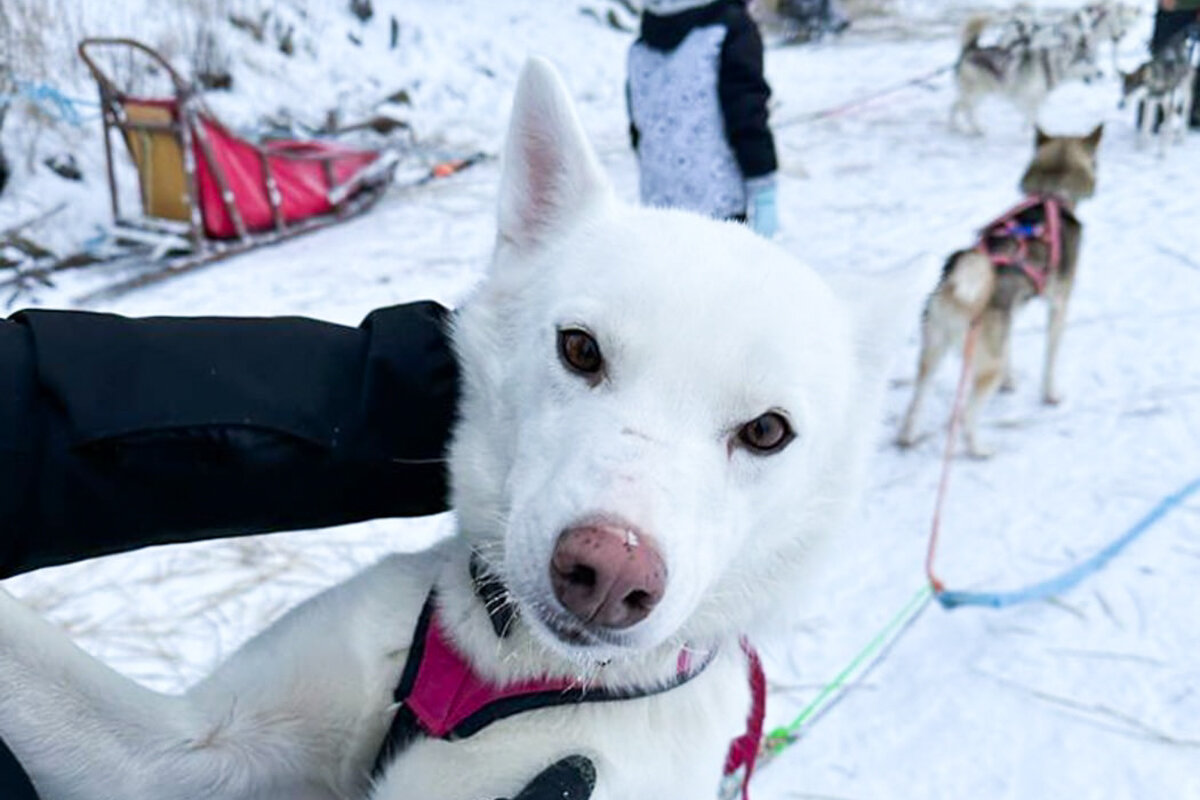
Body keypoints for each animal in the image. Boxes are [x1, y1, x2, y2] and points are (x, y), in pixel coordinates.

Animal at [897, 127, 1099, 460]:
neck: (1051, 194)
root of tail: (956, 292)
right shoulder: (1058, 305)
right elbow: (1050, 359)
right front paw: (1050, 394)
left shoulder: (1011, 312)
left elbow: (1010, 352)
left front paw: (1010, 381)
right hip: (982, 368)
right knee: (967, 415)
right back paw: (978, 449)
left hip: (933, 351)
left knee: (917, 398)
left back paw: (907, 436)